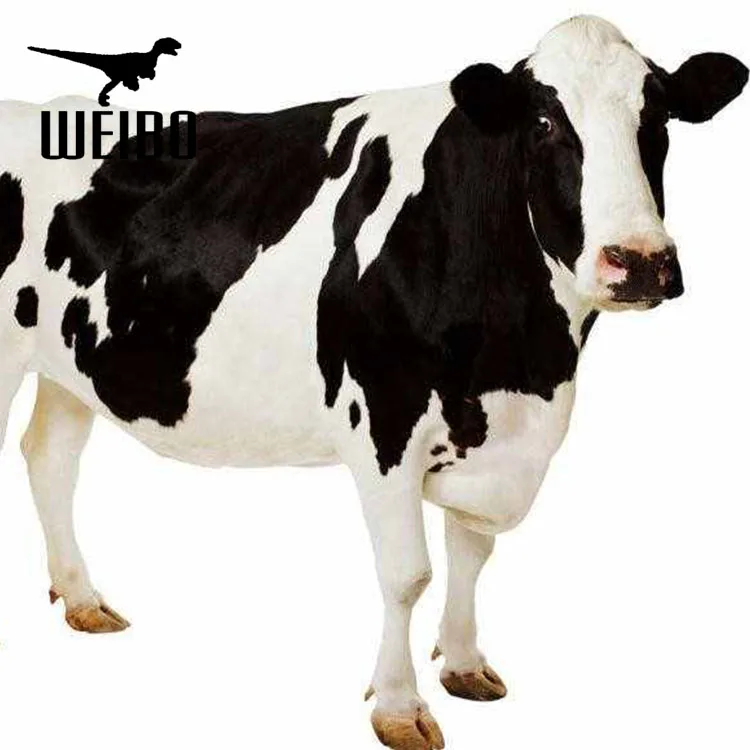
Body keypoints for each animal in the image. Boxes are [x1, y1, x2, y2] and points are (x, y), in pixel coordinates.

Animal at [0, 15, 746, 750]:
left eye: (659, 117)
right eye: (543, 122)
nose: (640, 261)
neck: (524, 360)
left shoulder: (495, 437)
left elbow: (472, 550)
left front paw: (465, 664)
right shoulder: (385, 421)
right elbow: (408, 573)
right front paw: (398, 706)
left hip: (74, 365)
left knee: (50, 459)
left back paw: (82, 599)